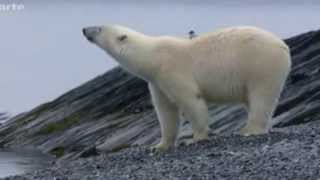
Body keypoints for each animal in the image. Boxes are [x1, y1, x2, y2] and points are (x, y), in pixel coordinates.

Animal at [82, 24, 290, 151]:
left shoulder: (172, 70)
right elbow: (166, 112)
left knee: (261, 97)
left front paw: (196, 138)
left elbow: (191, 100)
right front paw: (160, 145)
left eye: (99, 28)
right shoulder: (157, 82)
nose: (84, 29)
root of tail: (283, 46)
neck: (152, 57)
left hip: (260, 64)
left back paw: (249, 129)